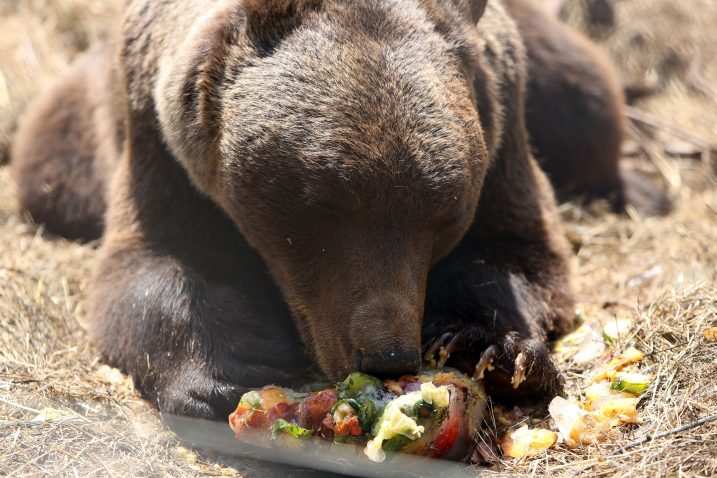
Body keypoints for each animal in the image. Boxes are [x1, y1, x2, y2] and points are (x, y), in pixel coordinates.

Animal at [8, 0, 636, 418]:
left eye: (443, 213)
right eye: (321, 206)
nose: (385, 354)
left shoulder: (501, 119)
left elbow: (517, 252)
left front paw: (487, 347)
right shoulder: (159, 140)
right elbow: (152, 261)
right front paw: (231, 367)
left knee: (587, 104)